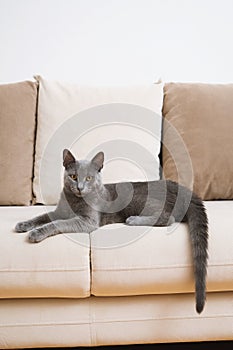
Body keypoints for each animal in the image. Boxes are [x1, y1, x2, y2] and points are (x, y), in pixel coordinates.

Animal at [16, 149, 209, 314]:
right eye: (73, 176)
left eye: (88, 178)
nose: (79, 187)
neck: (73, 201)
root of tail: (183, 189)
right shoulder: (58, 212)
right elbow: (43, 216)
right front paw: (24, 224)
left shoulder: (87, 221)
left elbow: (58, 223)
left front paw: (36, 233)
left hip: (140, 200)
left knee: (168, 218)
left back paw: (133, 220)